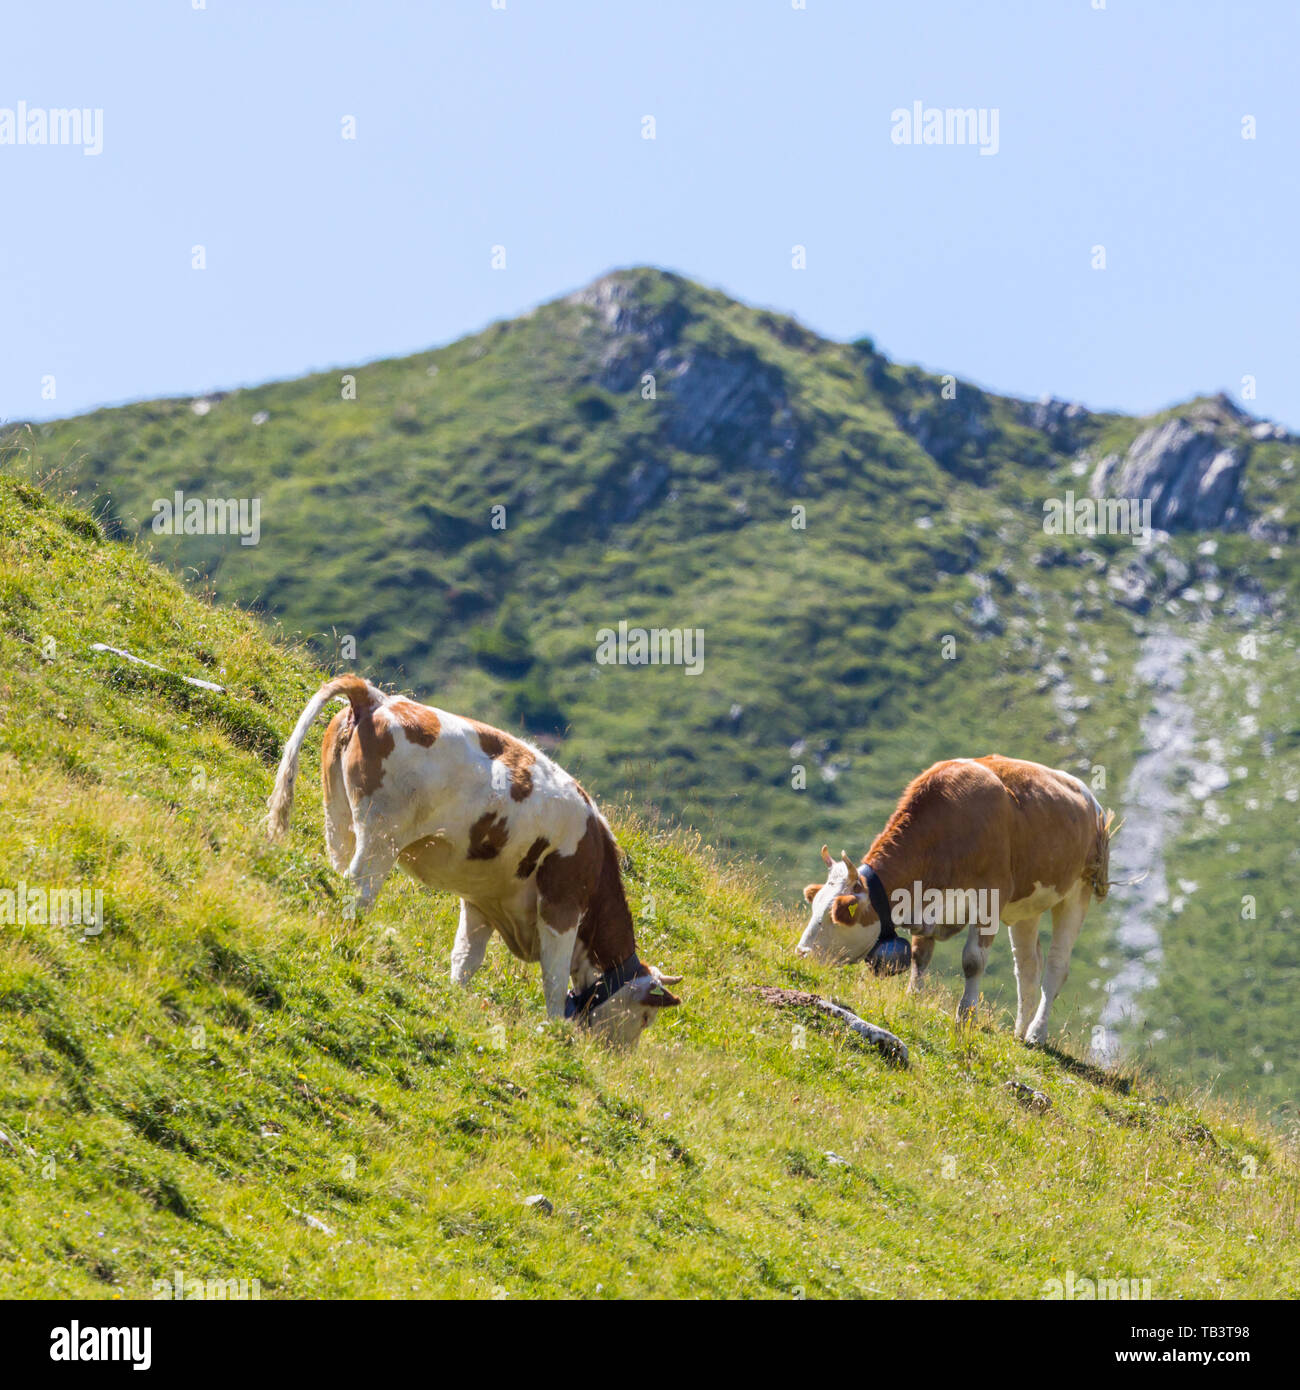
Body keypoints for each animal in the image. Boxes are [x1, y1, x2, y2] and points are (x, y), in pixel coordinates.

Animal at [267, 675, 682, 1044]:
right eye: (646, 1017)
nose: (617, 1055)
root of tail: (377, 698)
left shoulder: (483, 903)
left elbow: (466, 958)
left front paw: (455, 995)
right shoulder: (561, 908)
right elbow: (553, 976)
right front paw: (554, 1030)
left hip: (337, 815)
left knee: (338, 871)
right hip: (381, 833)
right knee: (360, 887)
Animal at [796, 756, 1112, 1045]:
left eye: (836, 915)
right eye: (814, 907)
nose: (801, 953)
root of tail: (1091, 800)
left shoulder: (990, 899)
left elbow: (973, 962)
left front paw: (966, 1016)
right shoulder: (926, 905)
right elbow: (919, 955)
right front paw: (913, 998)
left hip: (1077, 892)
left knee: (1057, 965)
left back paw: (1036, 1034)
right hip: (1027, 907)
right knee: (1027, 965)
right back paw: (1020, 1032)